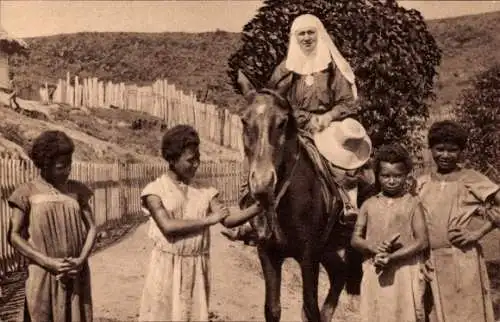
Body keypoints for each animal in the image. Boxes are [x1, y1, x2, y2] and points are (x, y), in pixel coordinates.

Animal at [234, 70, 368, 322]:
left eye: (282, 122)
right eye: (244, 120)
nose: (262, 183)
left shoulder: (308, 257)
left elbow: (309, 308)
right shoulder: (267, 253)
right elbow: (273, 309)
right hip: (329, 250)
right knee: (339, 273)